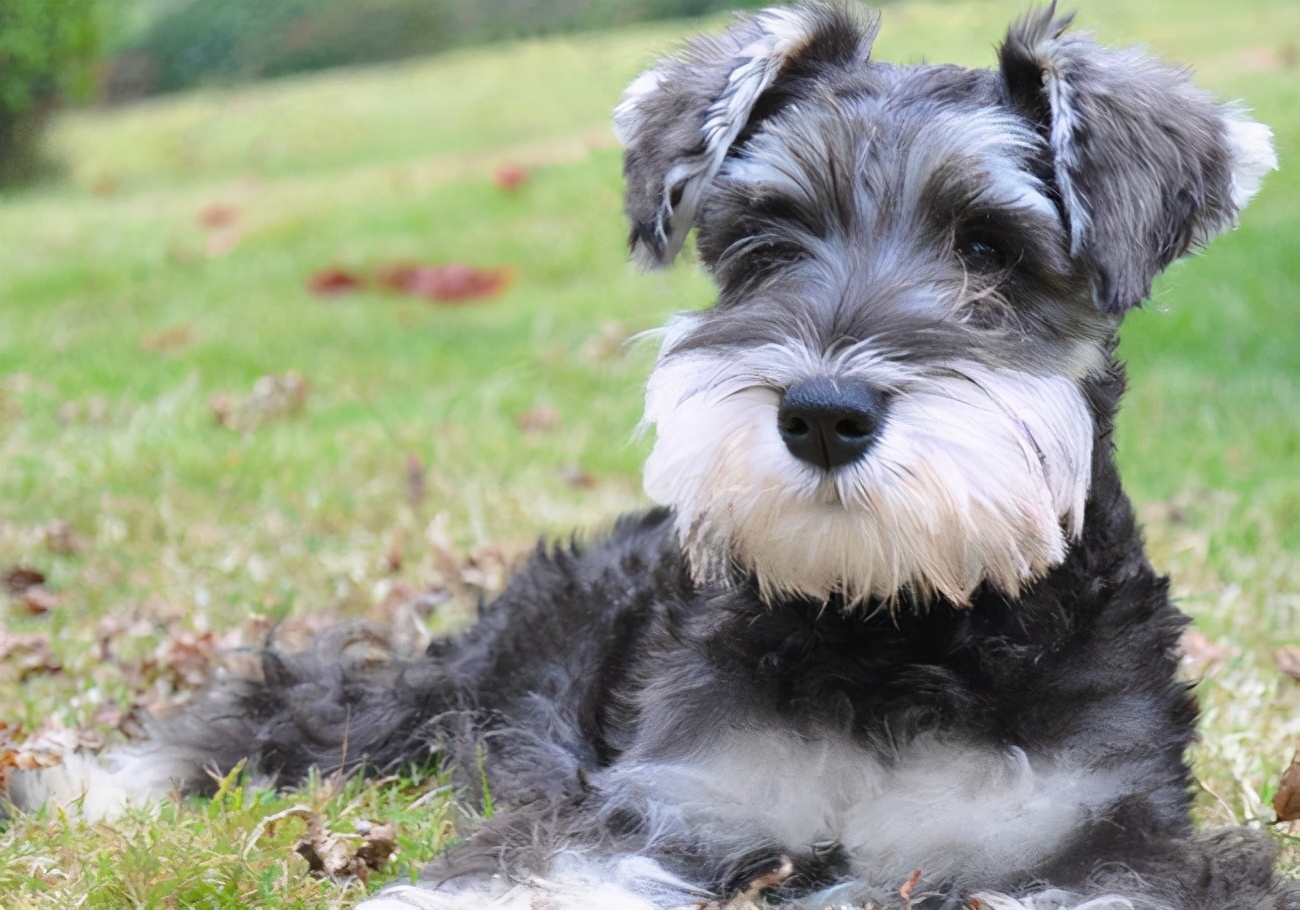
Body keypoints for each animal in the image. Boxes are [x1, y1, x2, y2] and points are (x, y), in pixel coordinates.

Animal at [7, 1, 1289, 909]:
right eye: (766, 238)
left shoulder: (1098, 844)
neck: (893, 627)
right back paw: (92, 787)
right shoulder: (664, 804)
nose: (822, 415)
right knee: (302, 708)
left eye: (989, 248)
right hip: (488, 674)